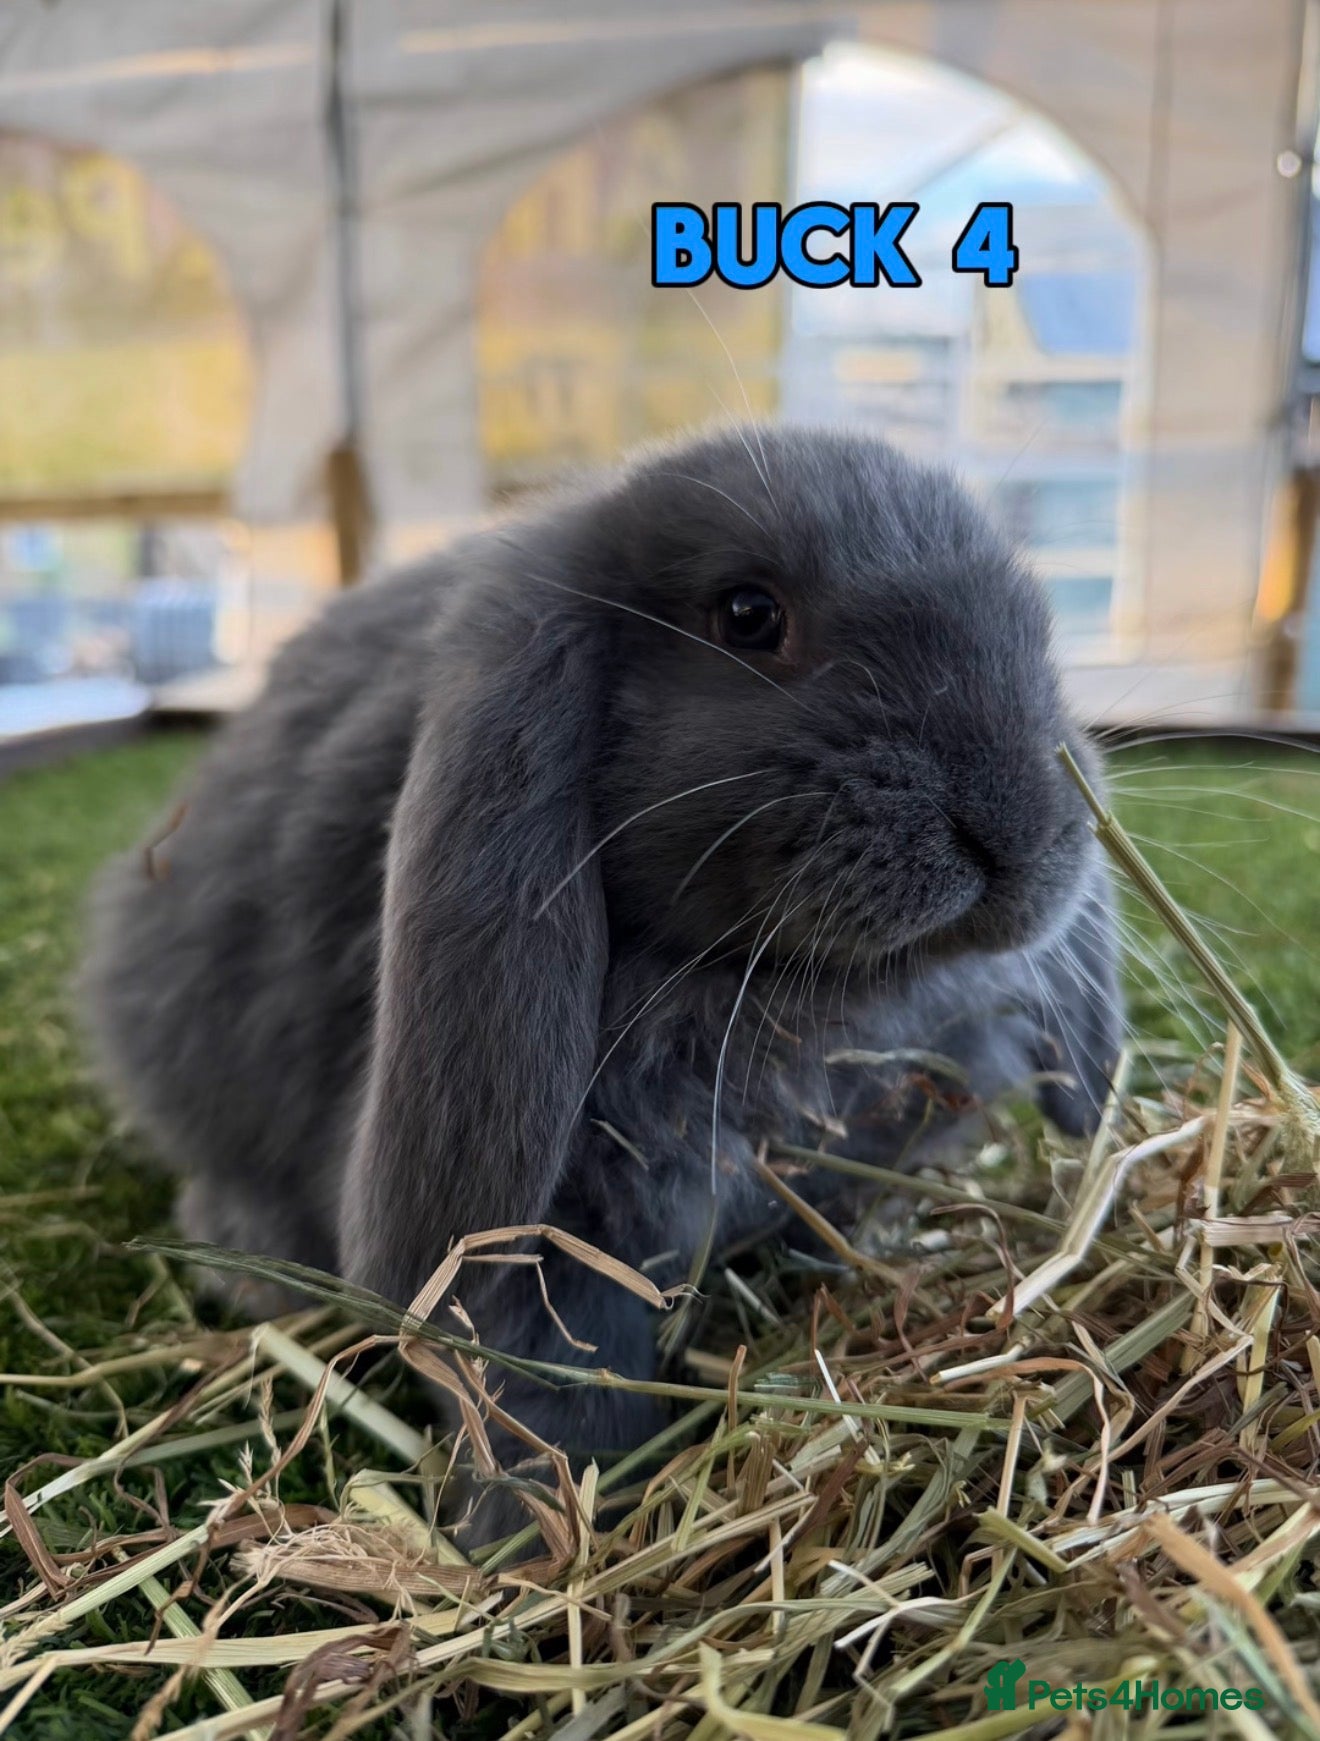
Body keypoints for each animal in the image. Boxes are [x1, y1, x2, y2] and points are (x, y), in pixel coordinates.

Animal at [82, 423, 1122, 1533]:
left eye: (1034, 617)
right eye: (748, 615)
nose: (1014, 822)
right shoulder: (551, 1246)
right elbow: (551, 1379)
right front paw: (542, 1527)